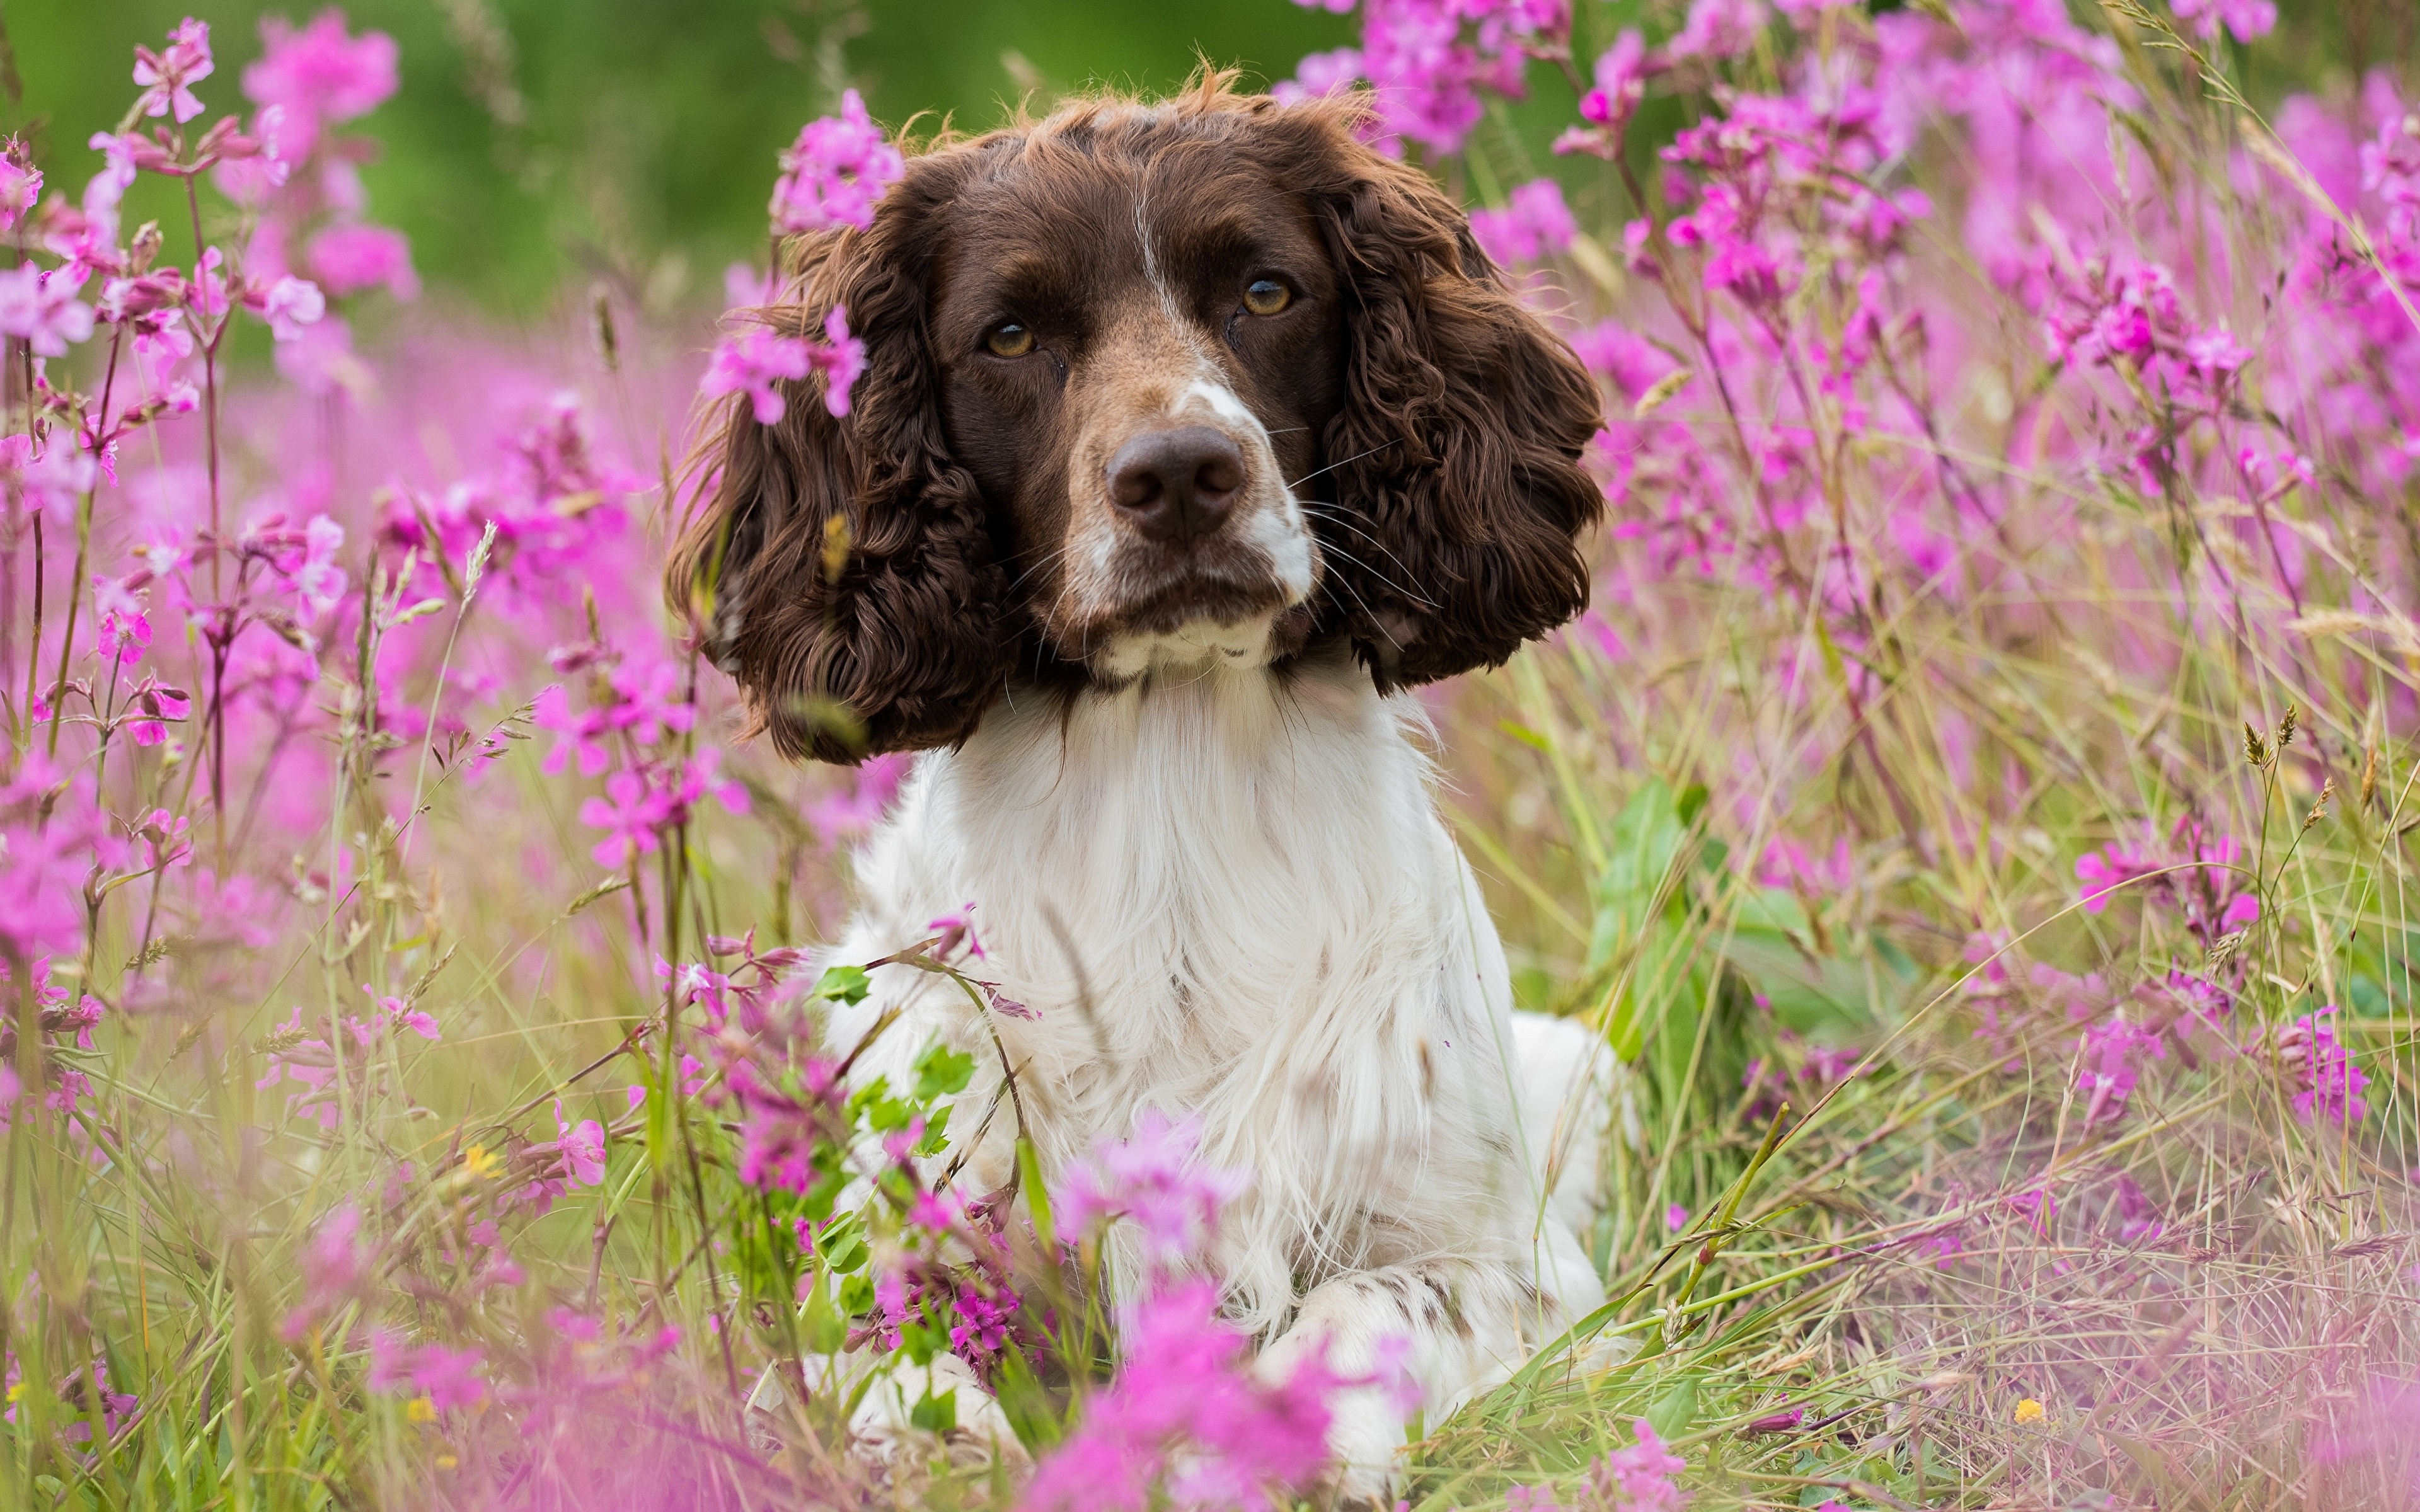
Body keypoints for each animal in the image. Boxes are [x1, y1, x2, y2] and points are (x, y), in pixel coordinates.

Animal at [677, 74, 1626, 1499]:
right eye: (1009, 333)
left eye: (1268, 292)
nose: (1180, 475)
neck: (1169, 794)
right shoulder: (892, 1258)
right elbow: (897, 1375)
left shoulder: (1511, 1267)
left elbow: (1365, 1309)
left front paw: (1275, 1444)